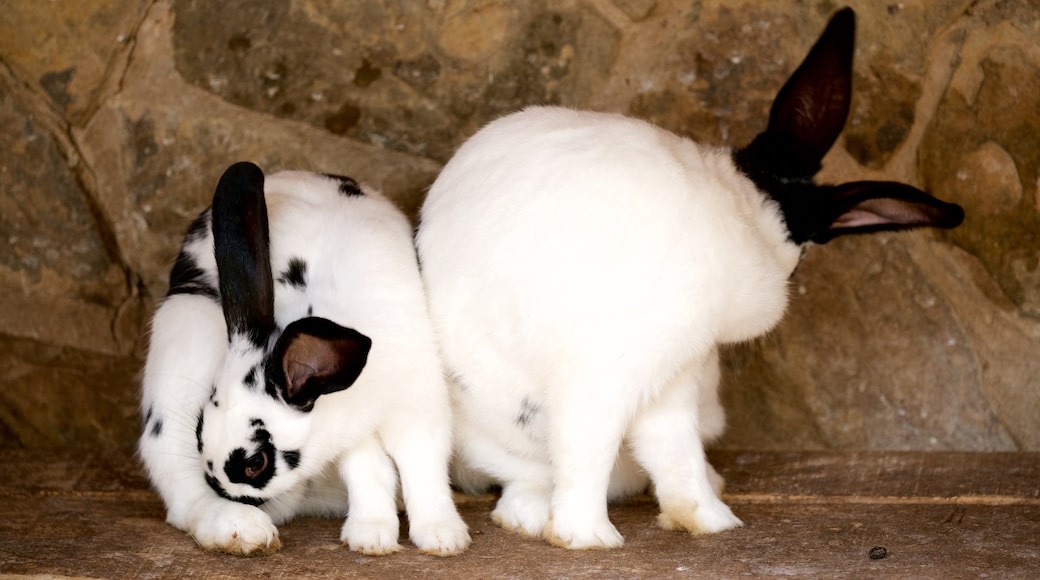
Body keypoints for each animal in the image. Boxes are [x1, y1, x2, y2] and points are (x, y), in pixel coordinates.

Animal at [136, 161, 470, 557]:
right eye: (199, 430)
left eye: (256, 463)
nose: (229, 493)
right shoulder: (356, 439)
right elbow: (370, 473)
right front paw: (371, 536)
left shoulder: (419, 408)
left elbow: (423, 465)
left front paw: (442, 536)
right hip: (186, 329)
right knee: (179, 488)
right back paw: (241, 527)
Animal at [416, 6, 965, 552]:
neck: (745, 202)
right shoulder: (631, 365)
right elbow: (617, 450)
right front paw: (599, 538)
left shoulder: (671, 373)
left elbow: (670, 451)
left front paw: (704, 520)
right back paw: (586, 531)